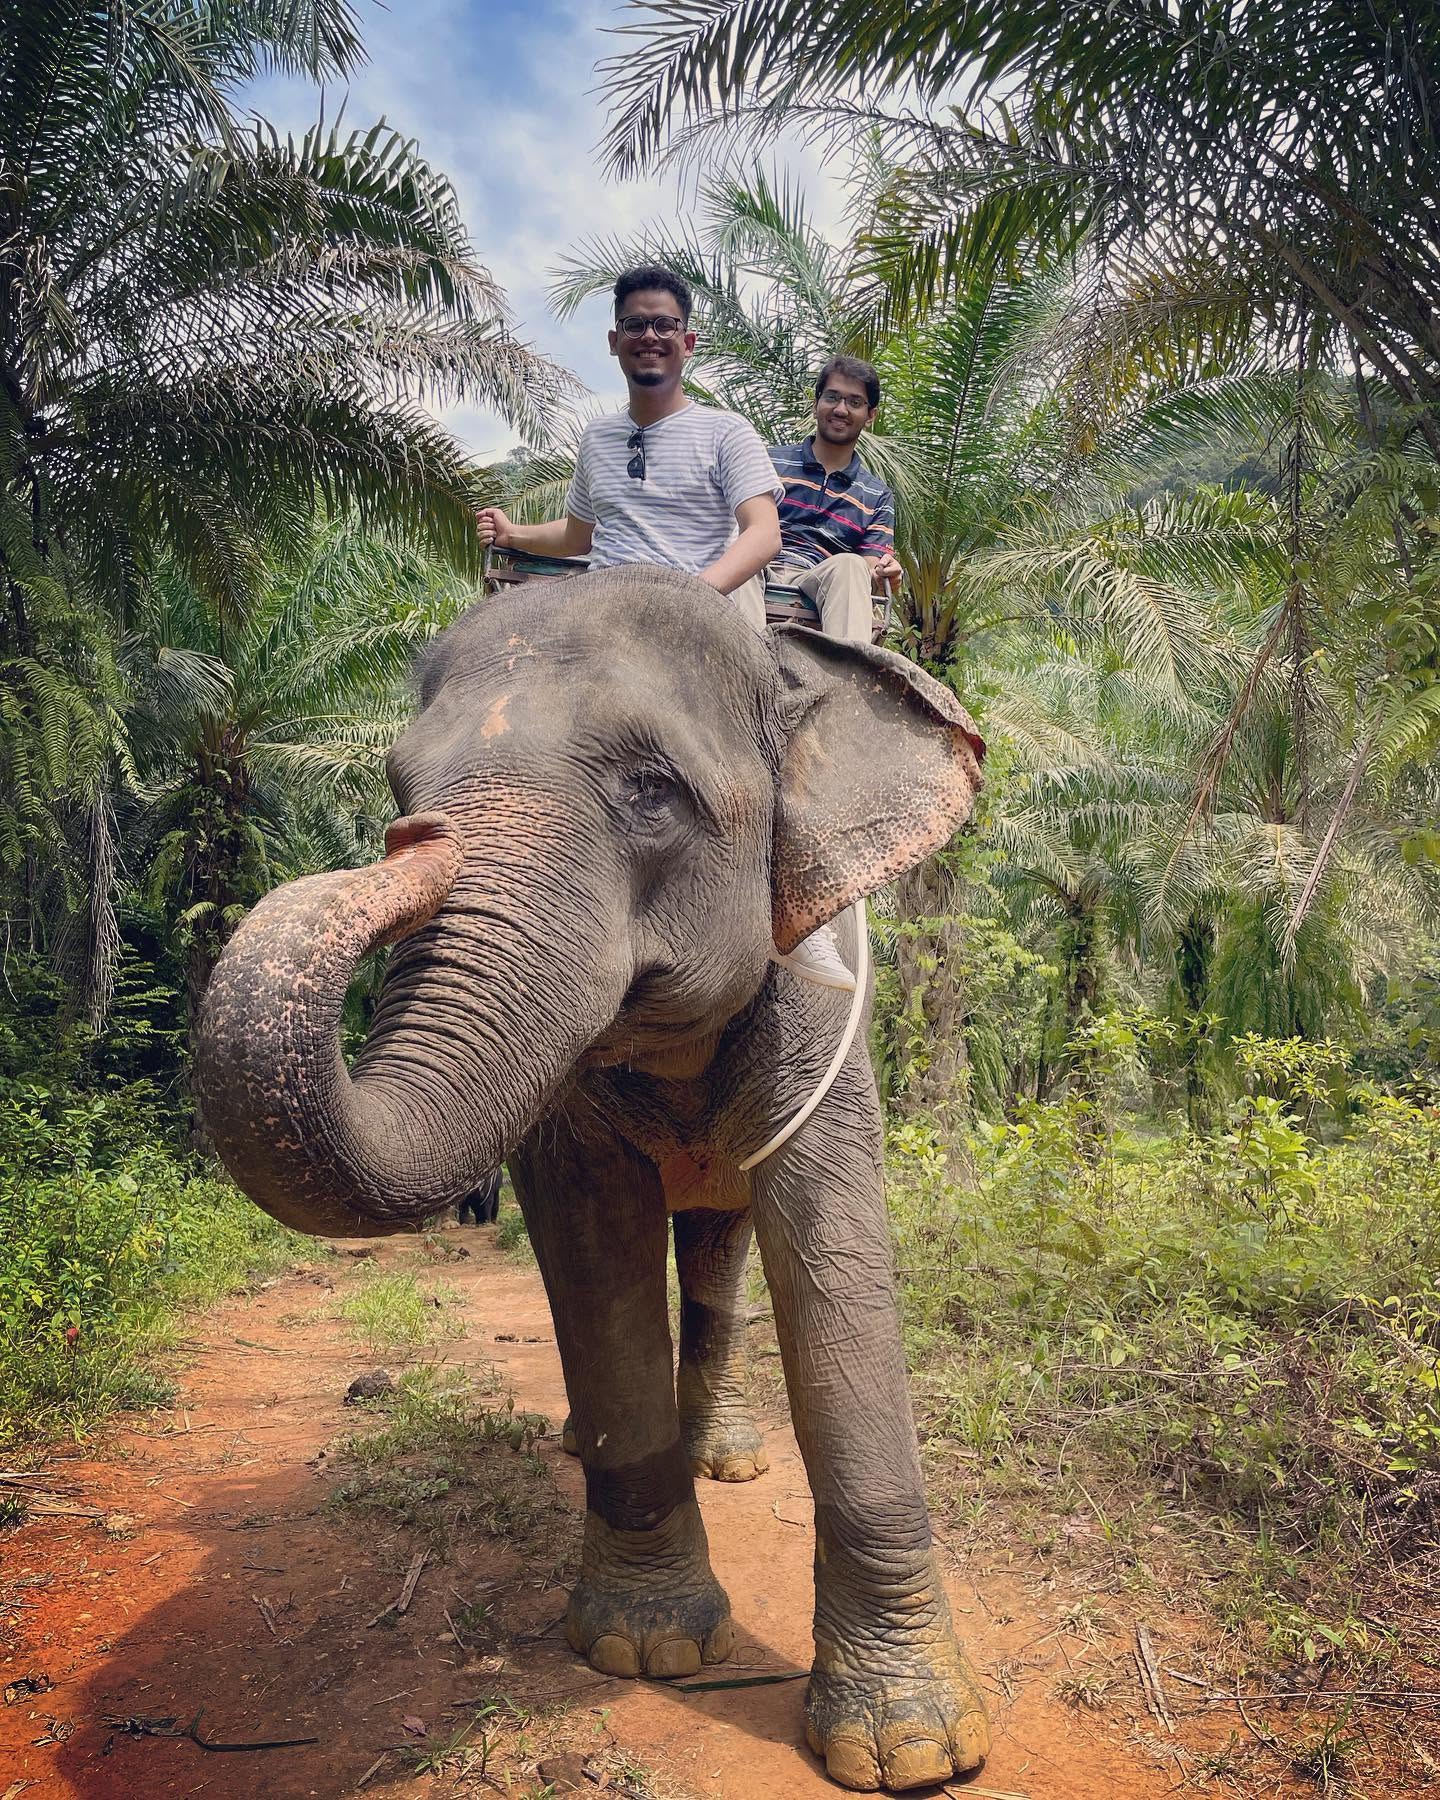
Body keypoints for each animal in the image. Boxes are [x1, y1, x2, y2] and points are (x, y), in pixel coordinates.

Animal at [198, 566, 989, 1793]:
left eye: (651, 793)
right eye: (399, 784)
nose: (414, 836)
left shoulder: (820, 1009)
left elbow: (833, 1254)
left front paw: (913, 1749)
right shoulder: (566, 1119)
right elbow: (592, 1252)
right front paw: (644, 1648)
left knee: (717, 1257)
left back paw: (729, 1456)